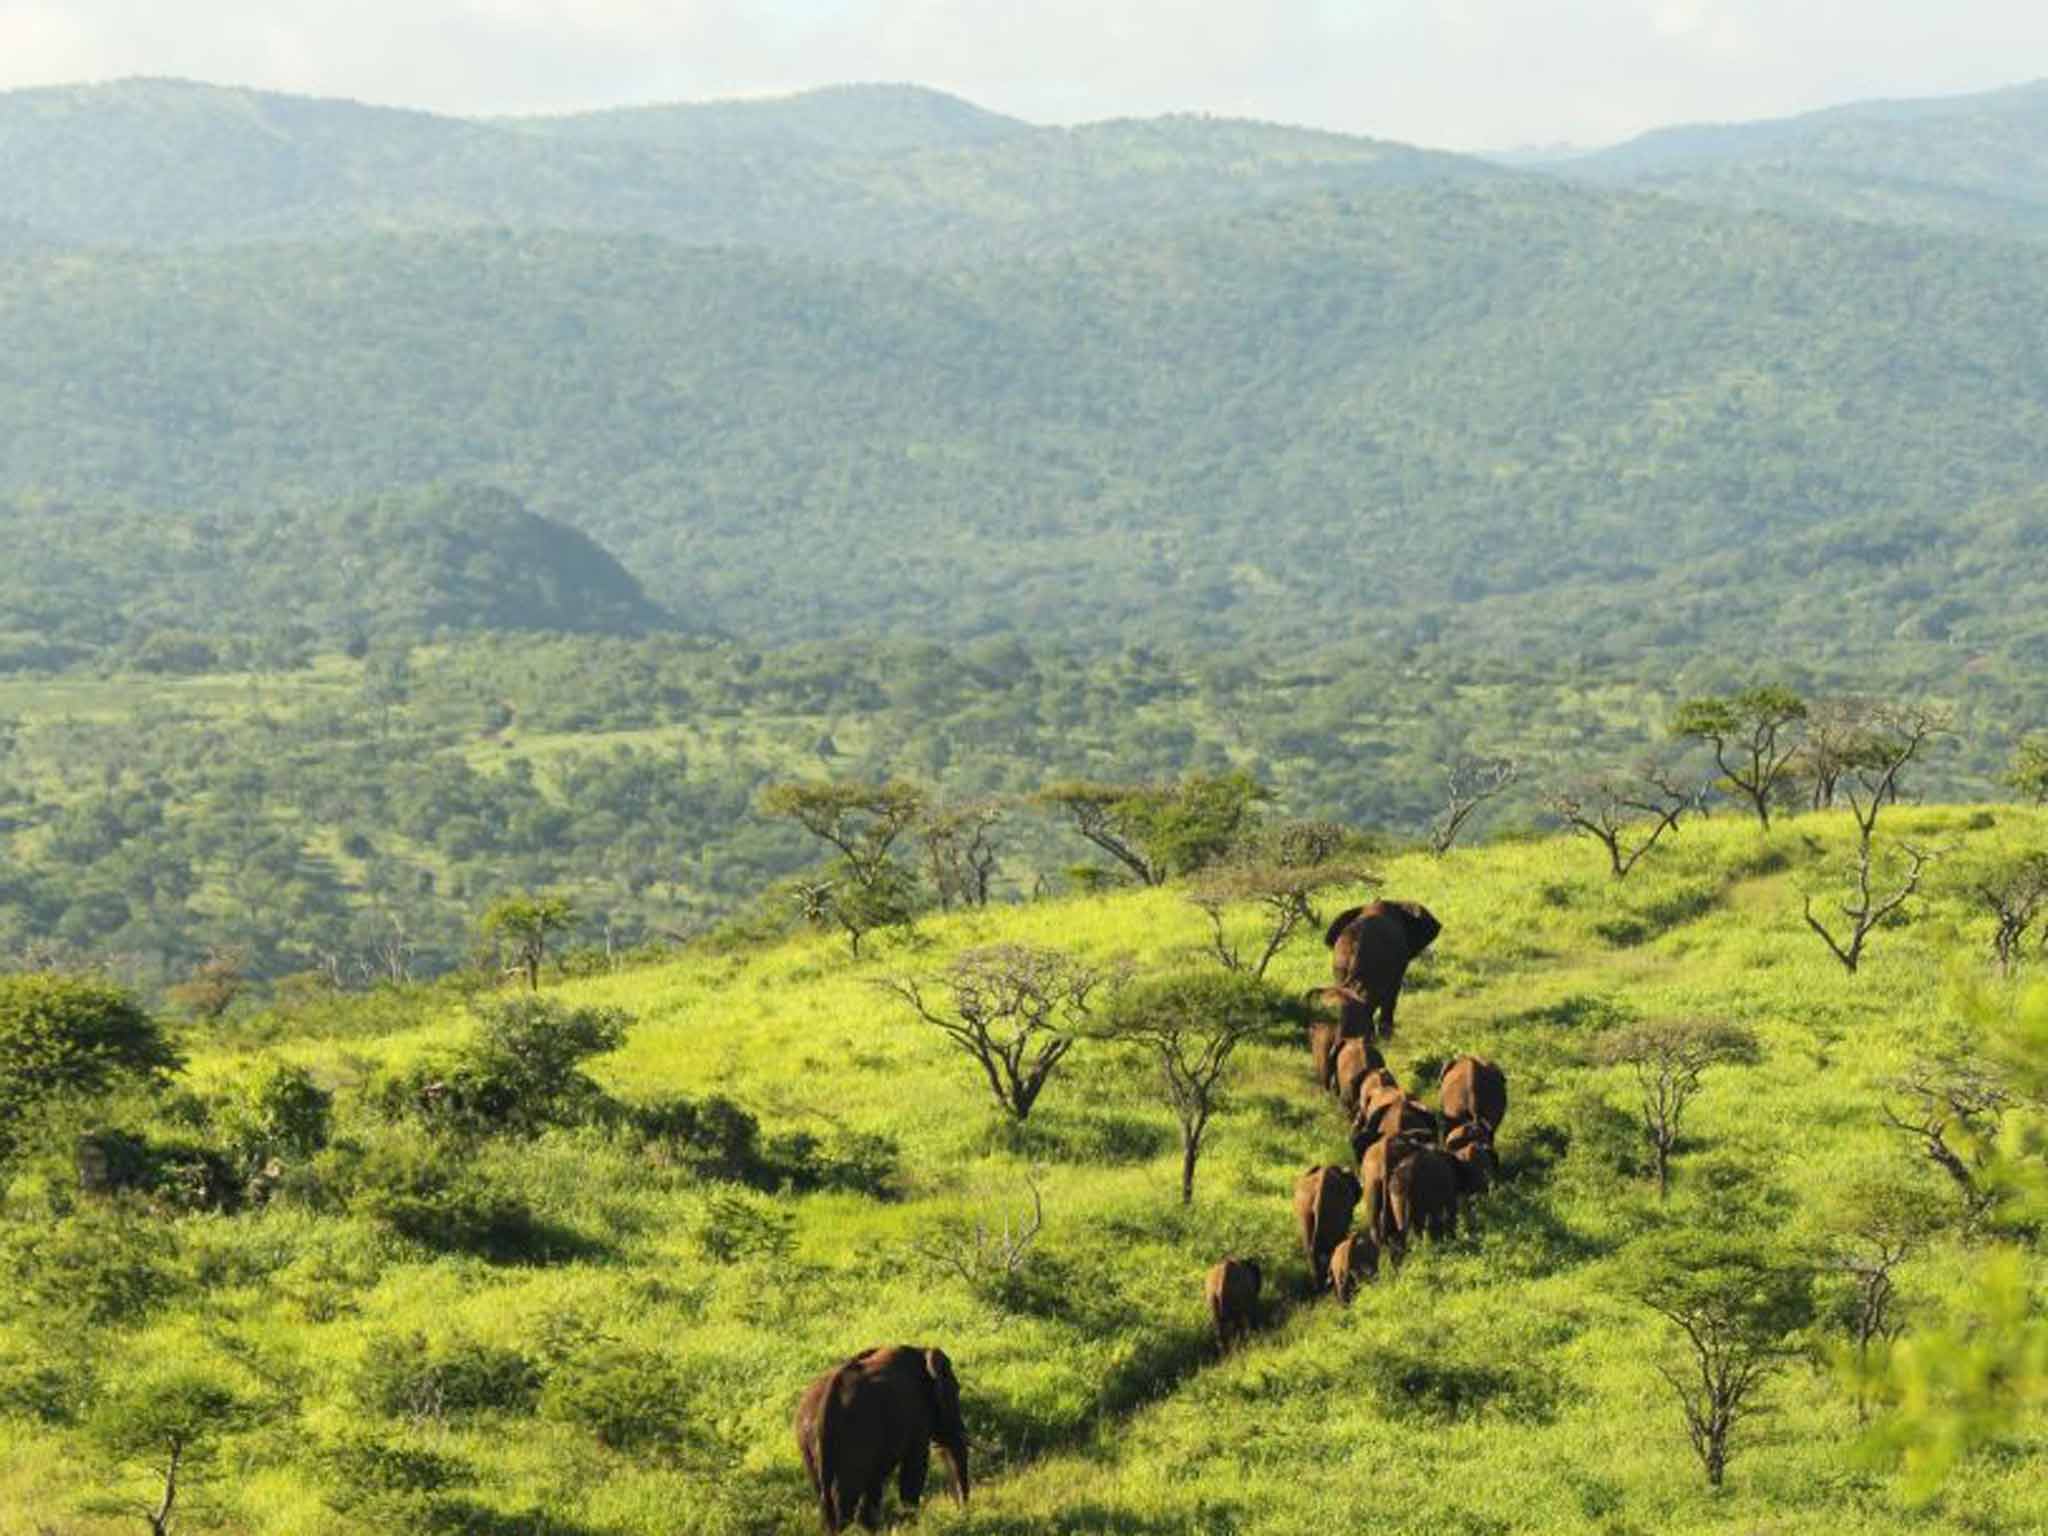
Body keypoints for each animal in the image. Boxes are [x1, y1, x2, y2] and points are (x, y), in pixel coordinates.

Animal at [790, 1351, 966, 1531]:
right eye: (956, 1390)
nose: (961, 1510)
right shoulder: (917, 1415)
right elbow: (915, 1466)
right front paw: (912, 1525)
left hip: (808, 1443)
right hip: (853, 1439)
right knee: (845, 1495)